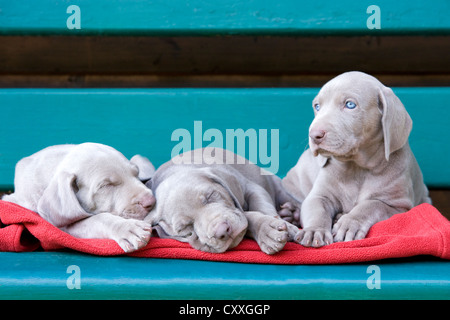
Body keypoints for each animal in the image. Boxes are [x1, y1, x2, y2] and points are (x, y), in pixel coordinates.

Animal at [2, 143, 156, 252]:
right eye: (106, 185)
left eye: (136, 173)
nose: (151, 201)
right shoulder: (62, 227)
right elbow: (98, 219)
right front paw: (129, 229)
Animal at [146, 148, 300, 255]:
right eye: (184, 227)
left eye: (211, 195)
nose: (222, 231)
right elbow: (248, 216)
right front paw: (267, 231)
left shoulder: (251, 187)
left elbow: (262, 206)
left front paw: (276, 227)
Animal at [284, 70, 430, 248]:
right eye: (317, 106)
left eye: (350, 105)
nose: (314, 135)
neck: (356, 167)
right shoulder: (319, 196)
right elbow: (317, 210)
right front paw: (314, 231)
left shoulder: (398, 206)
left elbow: (371, 206)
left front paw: (349, 223)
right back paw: (291, 213)